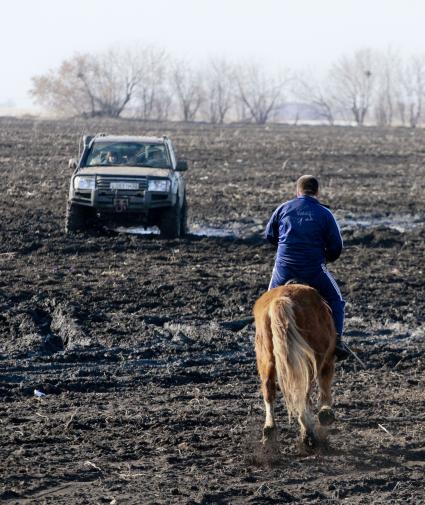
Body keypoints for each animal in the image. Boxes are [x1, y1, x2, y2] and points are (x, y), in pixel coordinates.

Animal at [253, 284, 336, 448]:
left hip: (266, 359)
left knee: (268, 389)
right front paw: (325, 414)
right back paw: (308, 433)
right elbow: (324, 387)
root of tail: (281, 299)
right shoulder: (327, 360)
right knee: (303, 393)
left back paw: (270, 431)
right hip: (310, 362)